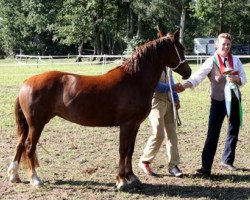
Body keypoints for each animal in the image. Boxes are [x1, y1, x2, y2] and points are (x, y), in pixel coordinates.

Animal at [7, 30, 191, 189]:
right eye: (181, 49)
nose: (188, 72)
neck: (134, 80)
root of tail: (26, 82)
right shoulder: (126, 124)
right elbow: (123, 150)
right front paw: (121, 180)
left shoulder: (135, 125)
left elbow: (130, 151)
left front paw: (132, 177)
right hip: (36, 124)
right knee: (29, 147)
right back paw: (35, 179)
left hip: (30, 125)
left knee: (20, 144)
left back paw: (14, 176)